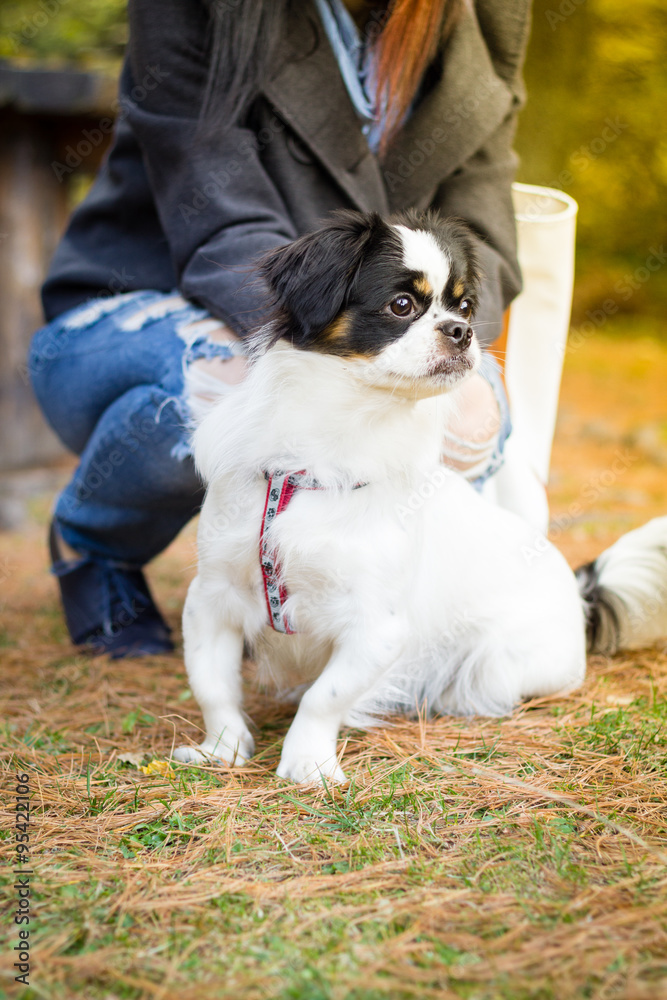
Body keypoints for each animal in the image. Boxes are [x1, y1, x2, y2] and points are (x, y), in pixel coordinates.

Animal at [174, 211, 667, 784]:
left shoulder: (377, 629)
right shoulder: (212, 599)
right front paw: (221, 750)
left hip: (498, 667)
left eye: (466, 307)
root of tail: (580, 593)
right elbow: (213, 687)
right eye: (402, 304)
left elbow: (324, 697)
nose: (462, 330)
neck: (329, 449)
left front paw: (307, 763)